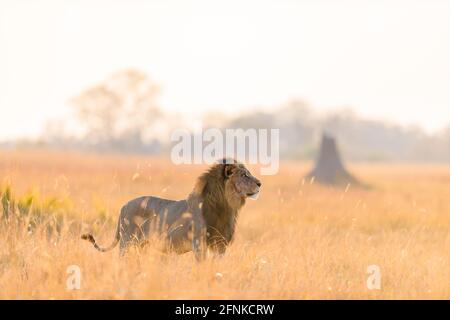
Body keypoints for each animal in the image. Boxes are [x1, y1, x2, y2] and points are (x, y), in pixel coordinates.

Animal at [82, 159, 262, 258]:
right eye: (244, 175)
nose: (260, 183)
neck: (227, 207)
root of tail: (123, 206)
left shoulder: (220, 245)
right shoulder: (199, 243)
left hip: (142, 245)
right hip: (127, 242)